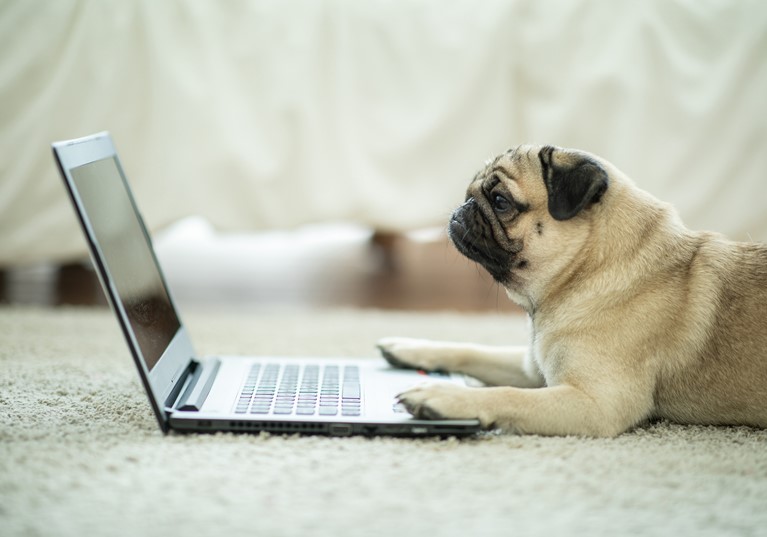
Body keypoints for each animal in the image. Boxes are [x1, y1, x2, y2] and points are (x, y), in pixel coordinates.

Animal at [378, 146, 767, 436]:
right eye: (471, 190)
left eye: (501, 201)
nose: (464, 206)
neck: (583, 272)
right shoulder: (533, 366)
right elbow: (471, 350)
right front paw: (409, 348)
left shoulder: (595, 404)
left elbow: (507, 396)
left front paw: (444, 396)